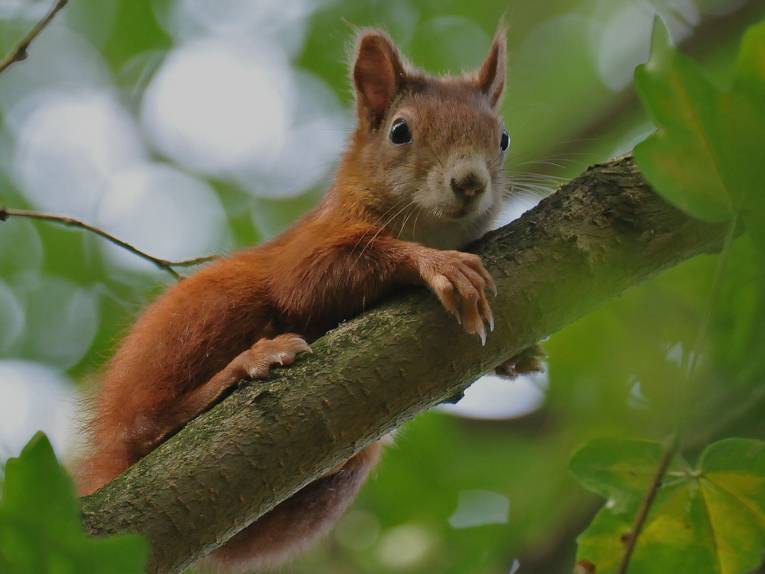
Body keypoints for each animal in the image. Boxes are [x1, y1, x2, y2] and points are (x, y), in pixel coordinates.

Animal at [78, 24, 509, 573]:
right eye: (400, 131)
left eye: (502, 138)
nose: (469, 181)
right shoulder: (311, 244)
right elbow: (308, 283)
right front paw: (438, 264)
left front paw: (518, 360)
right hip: (214, 306)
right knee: (144, 426)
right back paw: (244, 366)